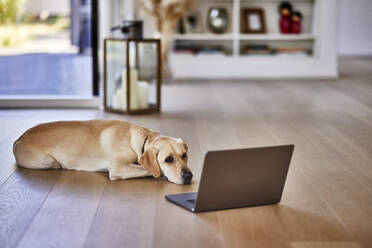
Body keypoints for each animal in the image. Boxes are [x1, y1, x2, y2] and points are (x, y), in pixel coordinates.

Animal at [13, 120, 193, 184]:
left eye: (184, 156)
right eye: (168, 160)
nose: (189, 176)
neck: (141, 139)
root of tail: (19, 138)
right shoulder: (118, 168)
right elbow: (147, 169)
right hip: (48, 161)